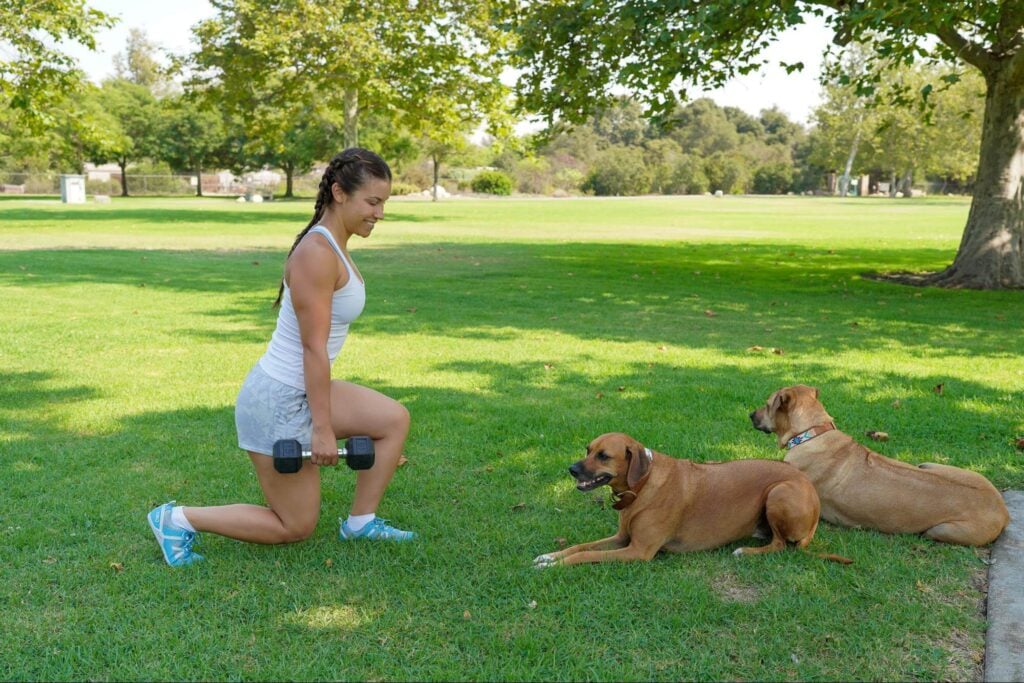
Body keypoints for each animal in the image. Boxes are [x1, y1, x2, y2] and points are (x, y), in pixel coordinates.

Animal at [532, 432, 851, 565]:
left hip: (780, 492)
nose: (571, 469)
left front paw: (555, 564)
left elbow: (585, 555)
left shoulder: (638, 551)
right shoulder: (622, 538)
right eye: (587, 449)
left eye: (603, 456)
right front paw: (550, 556)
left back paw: (745, 551)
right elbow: (580, 546)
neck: (643, 484)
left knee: (782, 545)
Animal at [749, 387, 1011, 548]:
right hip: (932, 465)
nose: (751, 414)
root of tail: (1003, 511)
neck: (812, 432)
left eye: (767, 404)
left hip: (944, 530)